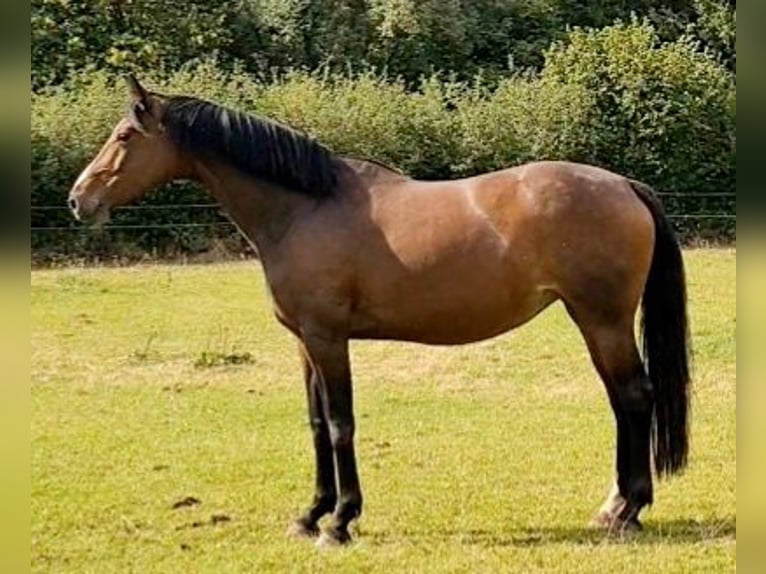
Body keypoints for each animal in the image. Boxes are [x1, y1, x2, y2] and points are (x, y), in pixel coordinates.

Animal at [68, 77, 690, 547]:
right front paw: (310, 515)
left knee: (634, 398)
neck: (305, 207)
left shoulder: (328, 338)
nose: (78, 200)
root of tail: (624, 186)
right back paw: (613, 506)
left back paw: (628, 510)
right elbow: (317, 424)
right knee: (621, 401)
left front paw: (340, 522)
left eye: (125, 135)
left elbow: (341, 423)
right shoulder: (304, 342)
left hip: (602, 320)